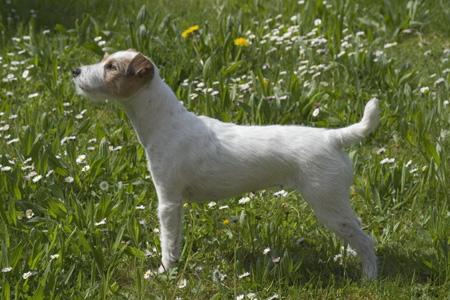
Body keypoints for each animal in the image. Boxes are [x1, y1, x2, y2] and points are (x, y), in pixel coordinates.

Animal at [73, 48, 380, 278]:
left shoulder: (168, 201)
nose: (75, 71)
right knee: (358, 232)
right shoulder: (175, 203)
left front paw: (164, 272)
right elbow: (175, 239)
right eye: (104, 59)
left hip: (326, 202)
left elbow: (168, 241)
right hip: (335, 204)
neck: (165, 122)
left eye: (111, 67)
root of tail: (332, 137)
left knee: (366, 241)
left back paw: (369, 278)